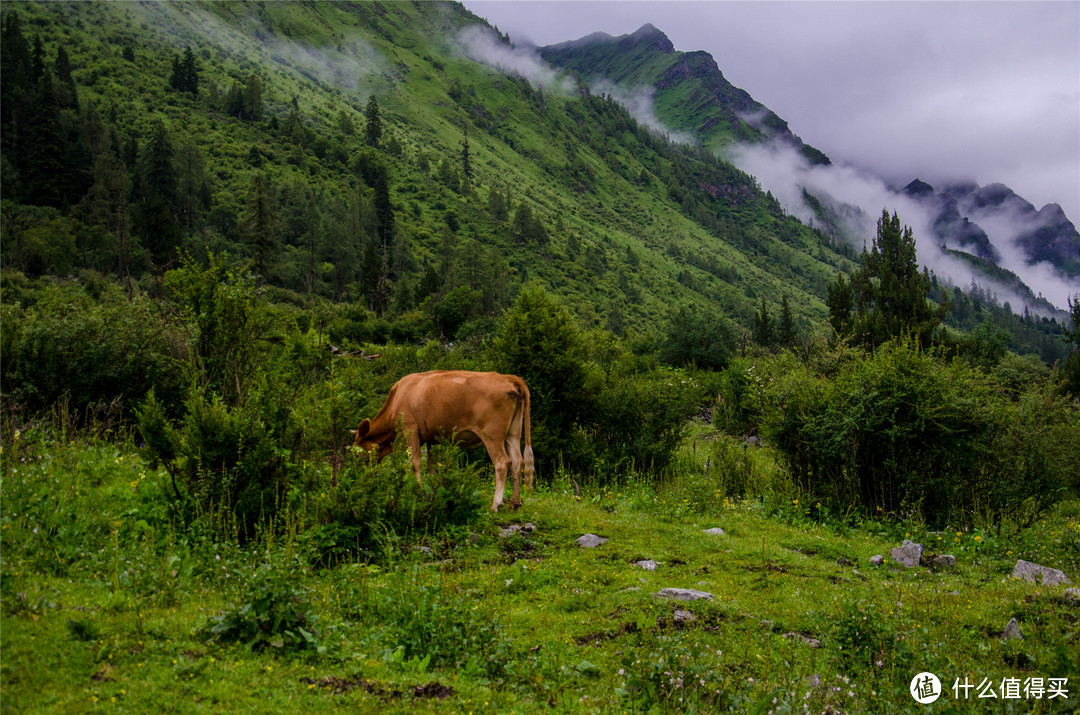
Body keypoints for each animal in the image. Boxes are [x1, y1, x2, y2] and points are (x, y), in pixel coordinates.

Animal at [354, 371, 535, 511]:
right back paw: (514, 502)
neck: (397, 397)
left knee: (502, 463)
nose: (362, 473)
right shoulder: (432, 437)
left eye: (358, 452)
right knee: (517, 462)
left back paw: (495, 504)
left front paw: (418, 490)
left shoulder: (410, 430)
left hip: (492, 435)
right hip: (513, 433)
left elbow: (415, 463)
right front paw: (433, 490)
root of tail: (508, 378)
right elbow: (431, 465)